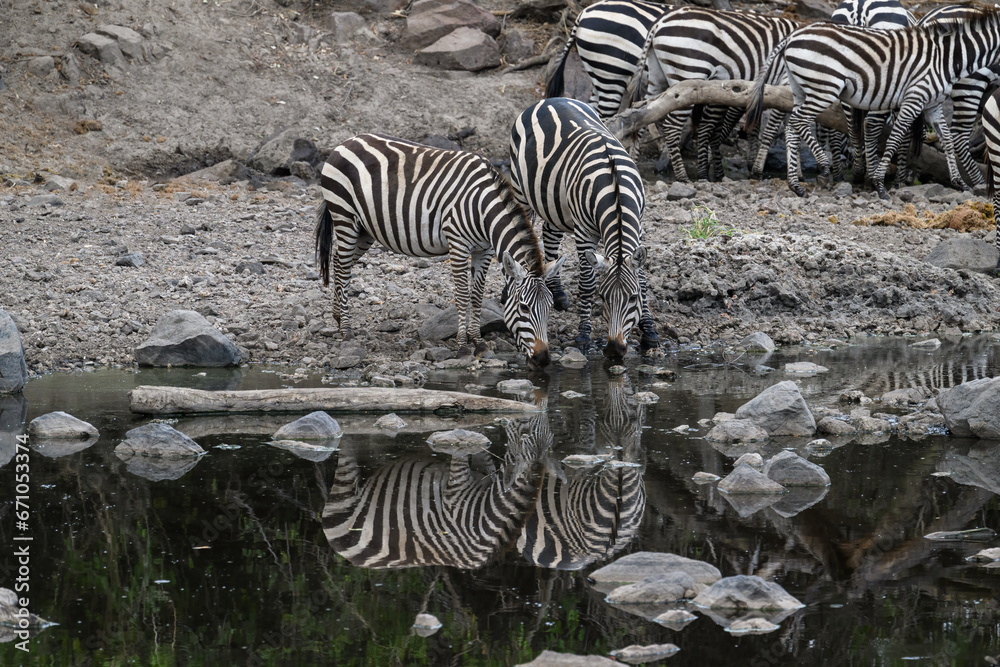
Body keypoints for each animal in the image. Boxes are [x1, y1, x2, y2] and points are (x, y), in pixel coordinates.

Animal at [316, 133, 563, 369]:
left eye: (550, 307)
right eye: (524, 307)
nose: (543, 359)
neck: (483, 208)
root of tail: (346, 141)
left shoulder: (484, 250)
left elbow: (477, 296)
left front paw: (479, 343)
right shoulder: (458, 244)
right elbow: (462, 296)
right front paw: (462, 346)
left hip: (365, 230)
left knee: (339, 262)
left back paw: (338, 318)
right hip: (345, 217)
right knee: (343, 267)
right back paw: (347, 330)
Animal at [509, 98, 660, 358]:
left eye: (632, 298)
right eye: (603, 297)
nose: (614, 350)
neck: (615, 191)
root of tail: (549, 100)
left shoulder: (638, 228)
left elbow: (642, 281)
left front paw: (649, 332)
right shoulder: (584, 232)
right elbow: (586, 283)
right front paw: (583, 336)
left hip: (554, 201)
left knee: (550, 234)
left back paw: (558, 293)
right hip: (522, 193)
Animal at [623, 6, 798, 182]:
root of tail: (659, 22)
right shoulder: (783, 86)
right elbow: (770, 130)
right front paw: (757, 170)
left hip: (657, 76)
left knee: (643, 116)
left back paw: (634, 164)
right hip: (687, 76)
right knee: (671, 126)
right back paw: (683, 177)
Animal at [746, 7, 1000, 199]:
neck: (948, 58)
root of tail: (793, 36)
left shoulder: (932, 104)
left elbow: (946, 139)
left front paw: (959, 182)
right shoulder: (914, 98)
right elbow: (896, 137)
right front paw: (879, 184)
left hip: (801, 89)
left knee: (792, 127)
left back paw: (795, 185)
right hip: (824, 88)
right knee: (798, 122)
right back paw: (824, 168)